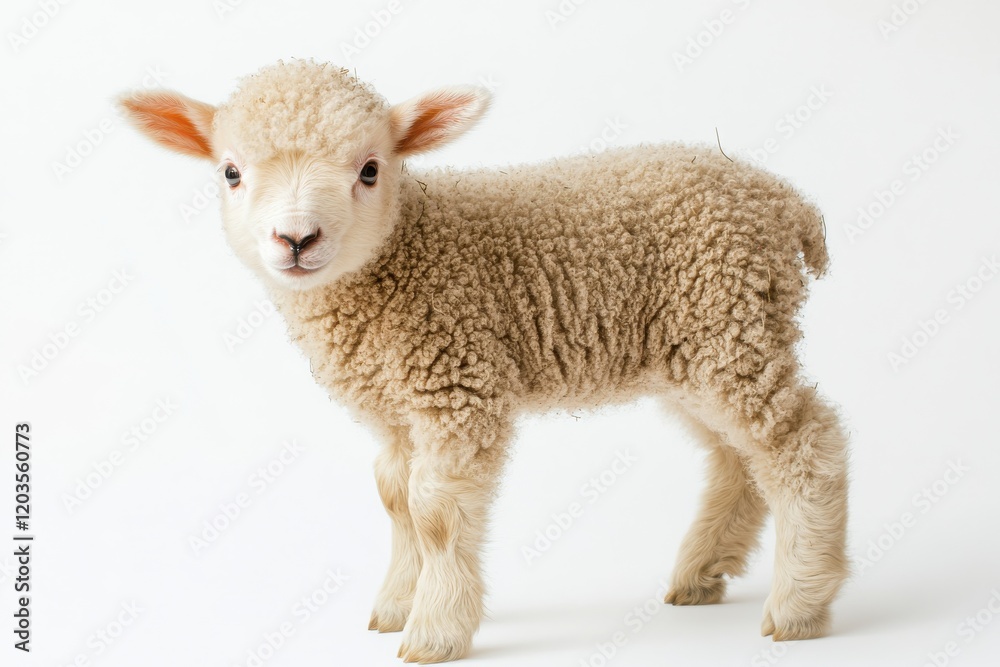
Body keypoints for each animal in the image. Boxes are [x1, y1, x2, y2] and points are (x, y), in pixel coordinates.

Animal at [118, 59, 849, 664]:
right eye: (231, 172)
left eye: (370, 169)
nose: (296, 239)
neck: (401, 256)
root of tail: (783, 200)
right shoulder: (396, 413)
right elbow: (395, 499)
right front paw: (396, 603)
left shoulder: (457, 385)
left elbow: (435, 514)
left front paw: (434, 629)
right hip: (698, 348)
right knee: (737, 455)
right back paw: (703, 571)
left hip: (728, 321)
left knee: (803, 443)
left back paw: (801, 602)